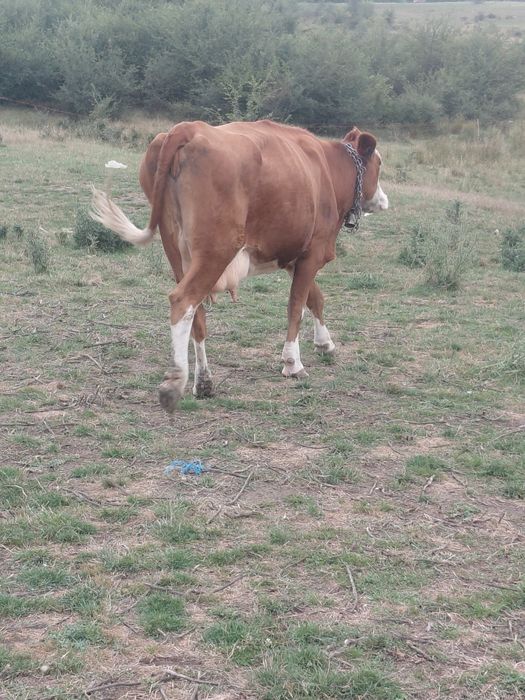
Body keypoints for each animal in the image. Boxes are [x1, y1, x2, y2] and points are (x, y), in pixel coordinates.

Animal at [90, 119, 388, 412]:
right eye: (379, 162)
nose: (384, 200)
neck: (327, 168)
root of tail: (187, 128)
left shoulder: (294, 256)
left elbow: (315, 299)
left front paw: (325, 344)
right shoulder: (313, 253)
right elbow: (296, 307)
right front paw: (293, 362)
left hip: (175, 249)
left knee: (196, 313)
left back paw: (204, 381)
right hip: (217, 249)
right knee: (182, 301)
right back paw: (175, 383)